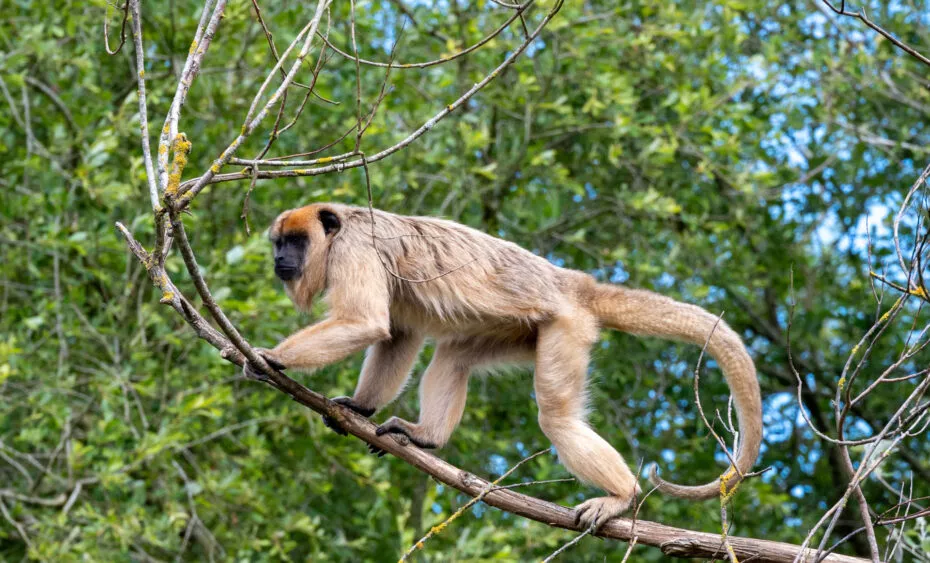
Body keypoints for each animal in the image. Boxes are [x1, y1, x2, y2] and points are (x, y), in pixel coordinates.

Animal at [244, 202, 762, 528]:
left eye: (296, 241)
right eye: (278, 242)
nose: (279, 259)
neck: (338, 233)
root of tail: (573, 284)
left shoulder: (356, 249)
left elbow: (365, 321)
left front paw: (272, 357)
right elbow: (398, 334)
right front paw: (360, 407)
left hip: (565, 327)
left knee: (555, 417)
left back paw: (621, 497)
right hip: (515, 331)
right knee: (452, 357)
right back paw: (426, 437)